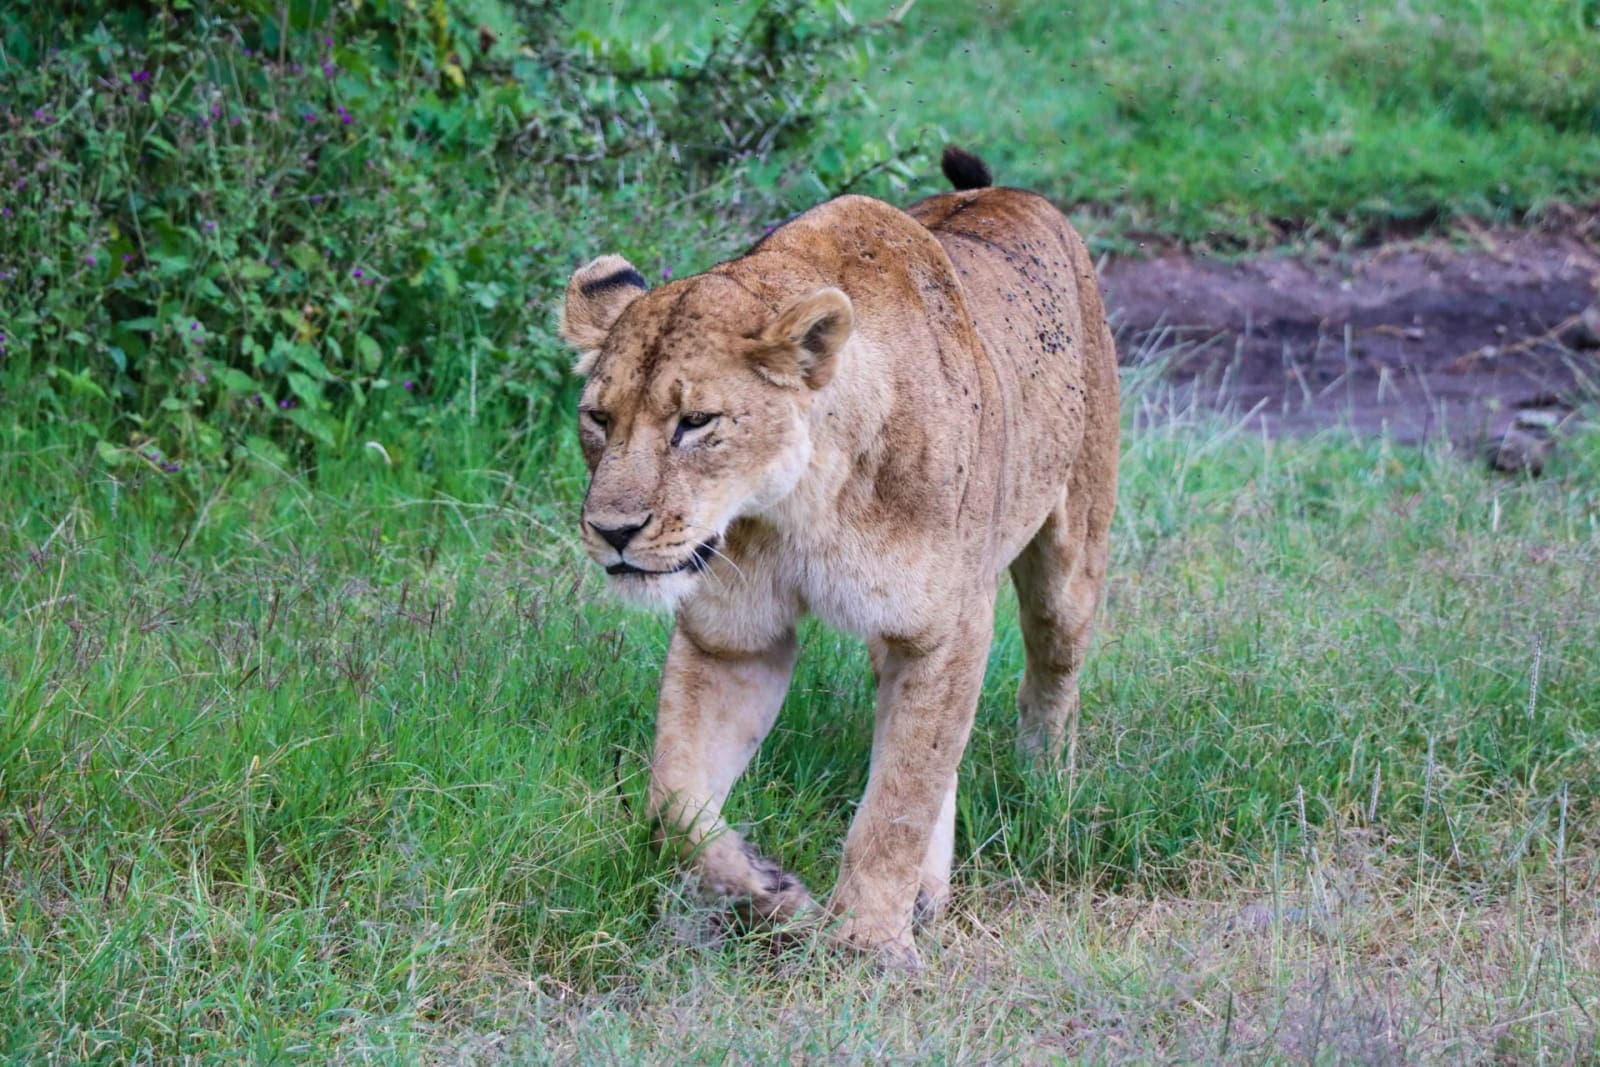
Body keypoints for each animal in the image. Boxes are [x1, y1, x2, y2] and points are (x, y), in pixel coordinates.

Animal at [558, 146, 1119, 968]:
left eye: (696, 422)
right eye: (599, 418)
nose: (613, 529)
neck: (798, 506)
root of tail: (1011, 193)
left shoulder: (947, 627)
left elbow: (899, 800)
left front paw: (867, 943)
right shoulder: (732, 638)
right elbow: (674, 798)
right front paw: (765, 890)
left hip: (1071, 550)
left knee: (1051, 669)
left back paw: (1047, 787)